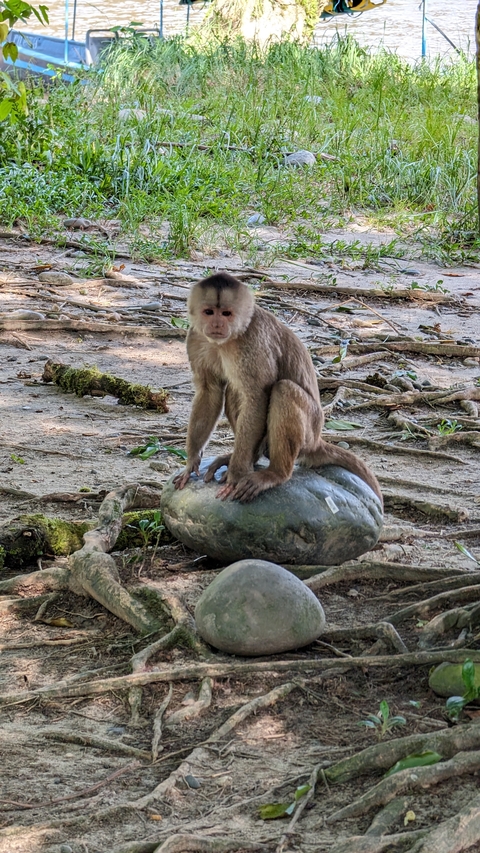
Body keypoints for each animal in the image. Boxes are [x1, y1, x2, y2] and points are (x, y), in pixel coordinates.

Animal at [173, 272, 382, 505]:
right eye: (209, 312)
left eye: (226, 313)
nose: (217, 324)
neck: (229, 339)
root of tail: (317, 440)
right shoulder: (196, 337)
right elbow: (210, 391)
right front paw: (191, 461)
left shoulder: (252, 342)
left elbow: (257, 396)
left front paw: (237, 475)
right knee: (235, 391)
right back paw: (251, 459)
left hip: (308, 434)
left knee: (283, 390)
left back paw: (276, 473)